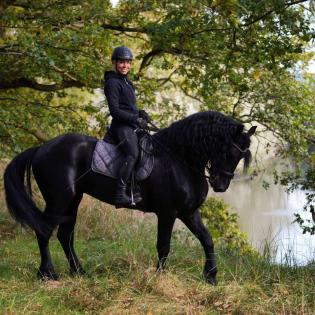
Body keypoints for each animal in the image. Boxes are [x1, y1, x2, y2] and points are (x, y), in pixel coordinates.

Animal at [3, 111, 256, 286]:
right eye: (229, 151)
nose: (220, 185)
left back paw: (78, 272)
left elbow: (207, 239)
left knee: (65, 235)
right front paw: (158, 278)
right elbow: (164, 245)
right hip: (58, 199)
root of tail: (40, 148)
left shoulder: (188, 212)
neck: (178, 159)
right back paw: (48, 274)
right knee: (44, 231)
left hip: (73, 200)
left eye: (240, 156)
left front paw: (210, 277)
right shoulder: (168, 213)